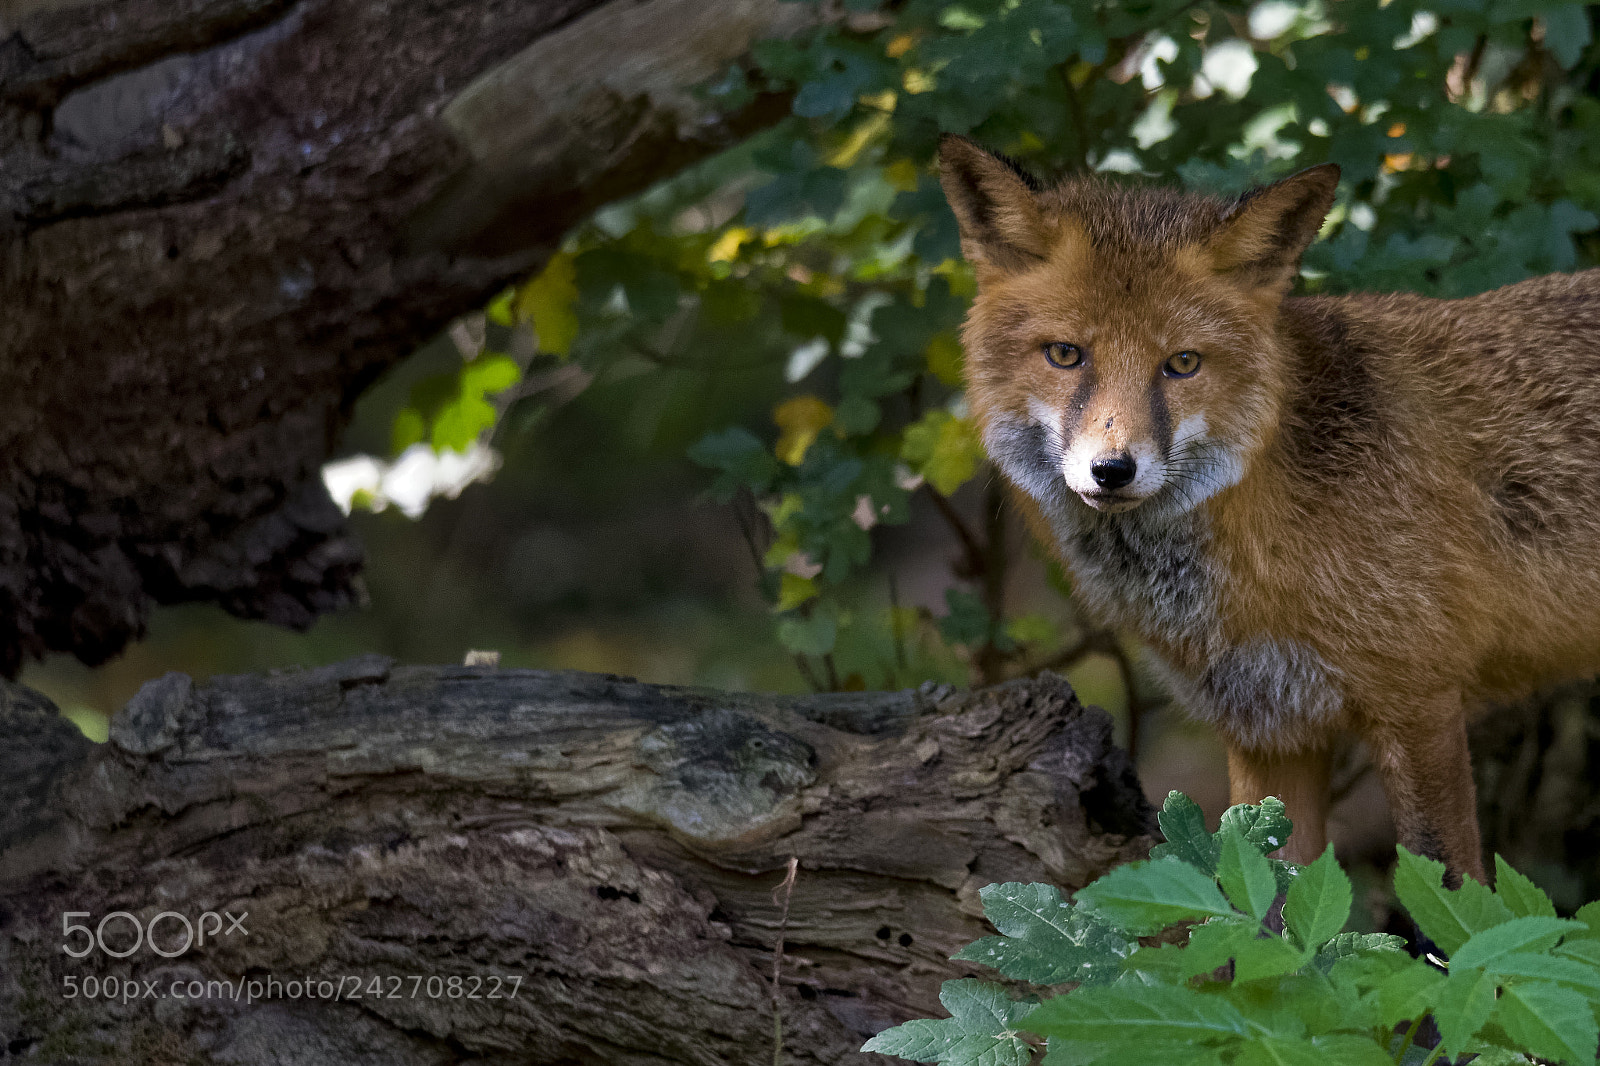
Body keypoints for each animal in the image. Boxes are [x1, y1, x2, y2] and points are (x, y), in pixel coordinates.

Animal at [938, 133, 1600, 885]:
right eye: (1065, 354)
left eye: (1183, 363)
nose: (1113, 471)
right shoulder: (1269, 728)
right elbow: (1270, 903)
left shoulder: (1420, 703)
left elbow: (1452, 898)